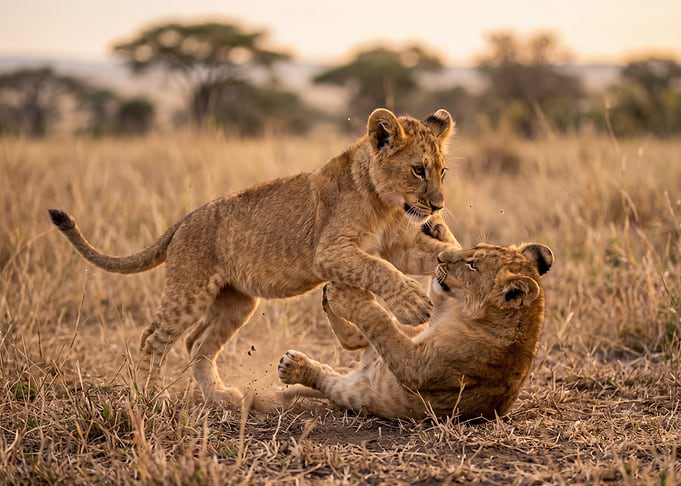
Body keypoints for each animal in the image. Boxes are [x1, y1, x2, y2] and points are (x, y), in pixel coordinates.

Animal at [48, 108, 461, 405]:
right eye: (418, 170)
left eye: (442, 171)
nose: (439, 205)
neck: (386, 204)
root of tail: (184, 220)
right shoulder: (330, 251)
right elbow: (378, 268)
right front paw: (413, 304)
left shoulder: (400, 246)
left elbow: (431, 255)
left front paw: (458, 260)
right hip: (190, 292)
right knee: (154, 339)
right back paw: (151, 396)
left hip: (236, 301)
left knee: (197, 344)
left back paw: (219, 397)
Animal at [277, 242, 554, 420]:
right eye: (475, 247)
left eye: (473, 265)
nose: (440, 257)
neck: (457, 312)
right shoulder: (424, 327)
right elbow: (384, 322)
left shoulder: (417, 365)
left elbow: (381, 323)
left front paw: (347, 295)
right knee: (353, 339)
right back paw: (329, 295)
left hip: (355, 392)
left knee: (338, 365)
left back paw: (293, 365)